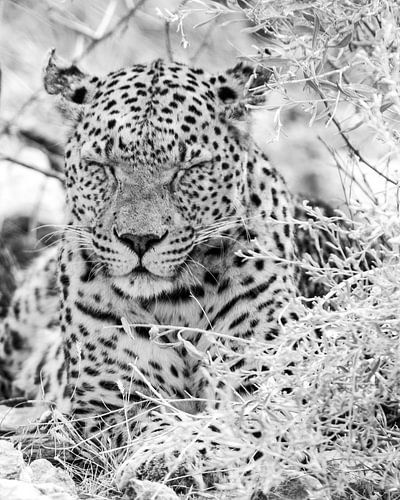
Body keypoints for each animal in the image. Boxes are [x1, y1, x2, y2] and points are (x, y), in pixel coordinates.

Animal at [0, 52, 300, 446]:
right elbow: (166, 433)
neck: (179, 304)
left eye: (188, 168)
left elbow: (250, 427)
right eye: (103, 166)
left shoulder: (269, 379)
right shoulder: (109, 403)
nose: (139, 239)